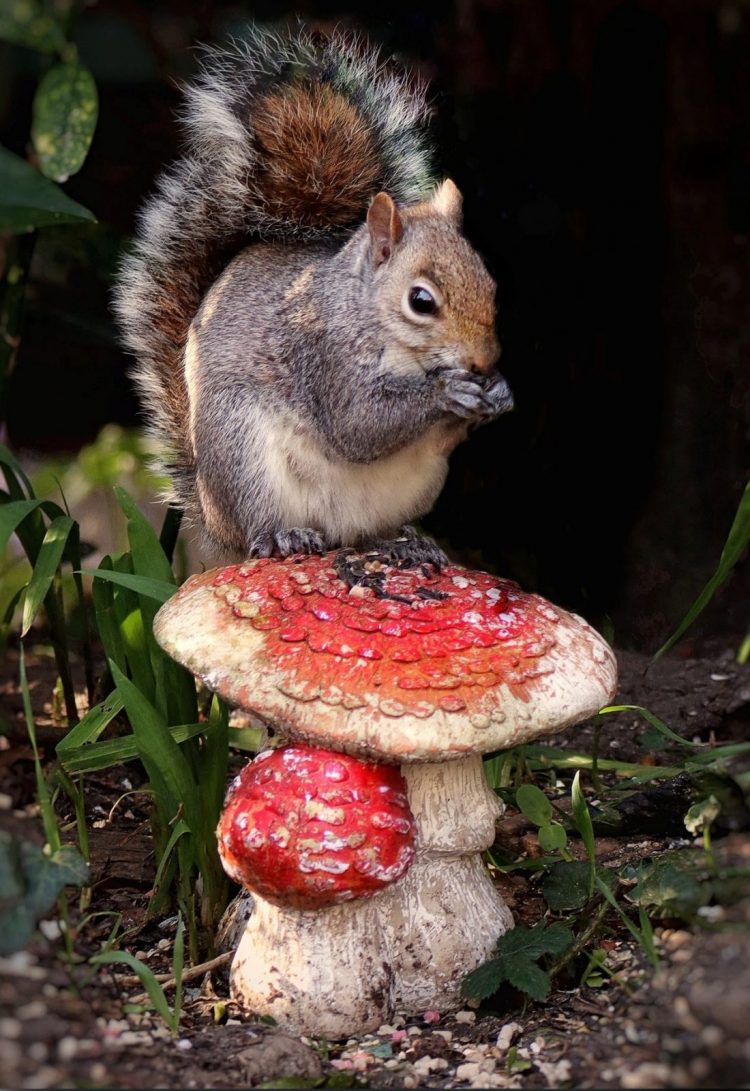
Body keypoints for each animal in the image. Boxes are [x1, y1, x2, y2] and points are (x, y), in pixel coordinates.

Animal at [114, 25, 515, 562]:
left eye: (490, 284)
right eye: (421, 301)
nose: (484, 361)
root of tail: (217, 520)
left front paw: (498, 393)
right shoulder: (322, 358)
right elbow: (358, 425)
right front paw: (447, 391)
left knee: (368, 533)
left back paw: (408, 543)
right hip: (243, 451)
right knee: (263, 522)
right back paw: (282, 535)